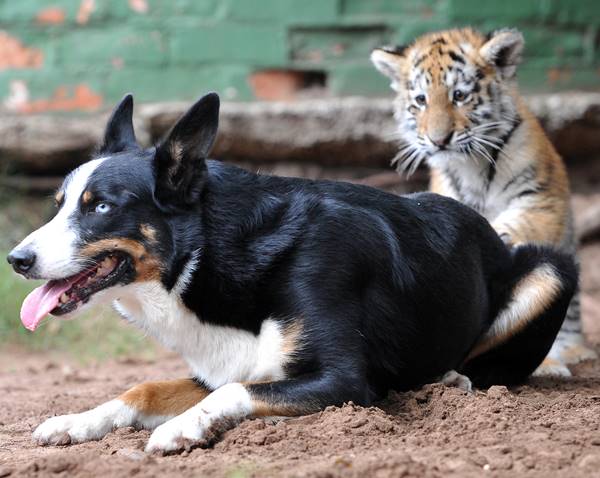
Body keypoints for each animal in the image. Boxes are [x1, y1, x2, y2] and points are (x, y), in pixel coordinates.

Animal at [5, 92, 576, 452]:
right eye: (59, 205)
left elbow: (234, 392)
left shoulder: (343, 380)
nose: (16, 260)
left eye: (101, 207)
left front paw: (182, 429)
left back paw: (453, 378)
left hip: (550, 268)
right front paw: (77, 421)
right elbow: (141, 389)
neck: (216, 252)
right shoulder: (219, 366)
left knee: (495, 370)